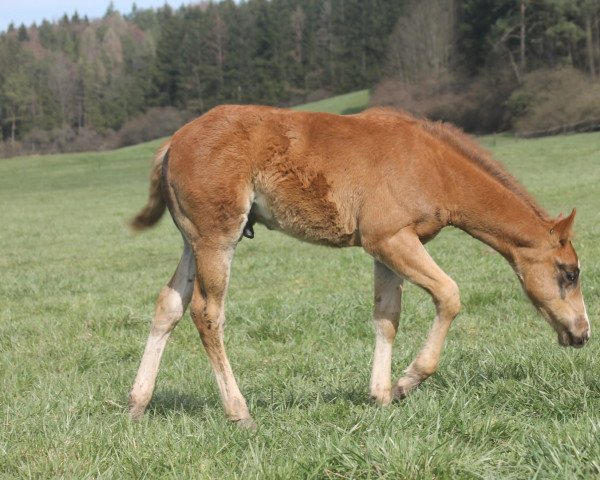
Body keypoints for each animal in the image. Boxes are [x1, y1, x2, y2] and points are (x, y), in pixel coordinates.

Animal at [127, 107, 592, 426]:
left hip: (193, 240)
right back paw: (239, 411)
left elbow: (387, 316)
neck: (434, 166)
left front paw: (380, 395)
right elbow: (449, 294)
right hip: (217, 236)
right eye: (569, 272)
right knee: (207, 313)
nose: (583, 334)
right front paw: (407, 382)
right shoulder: (390, 238)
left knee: (168, 305)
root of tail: (172, 143)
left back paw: (136, 404)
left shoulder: (388, 247)